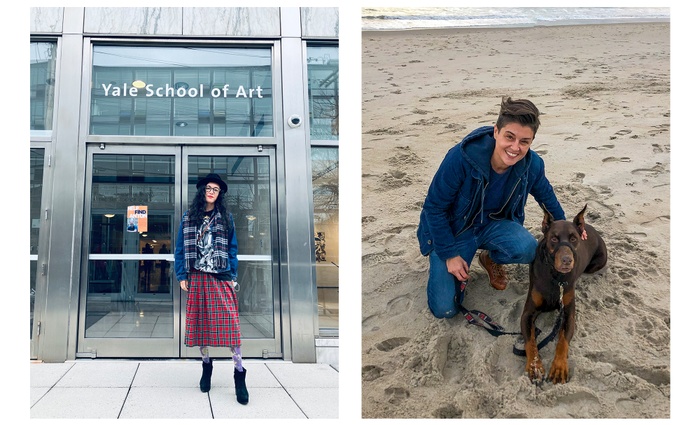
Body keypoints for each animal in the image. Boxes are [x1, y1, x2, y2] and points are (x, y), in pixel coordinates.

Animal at [520, 204, 608, 382]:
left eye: (573, 238)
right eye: (554, 238)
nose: (567, 260)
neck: (555, 276)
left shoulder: (568, 314)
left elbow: (562, 342)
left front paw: (559, 367)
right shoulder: (527, 313)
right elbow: (531, 342)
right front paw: (534, 366)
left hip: (597, 262)